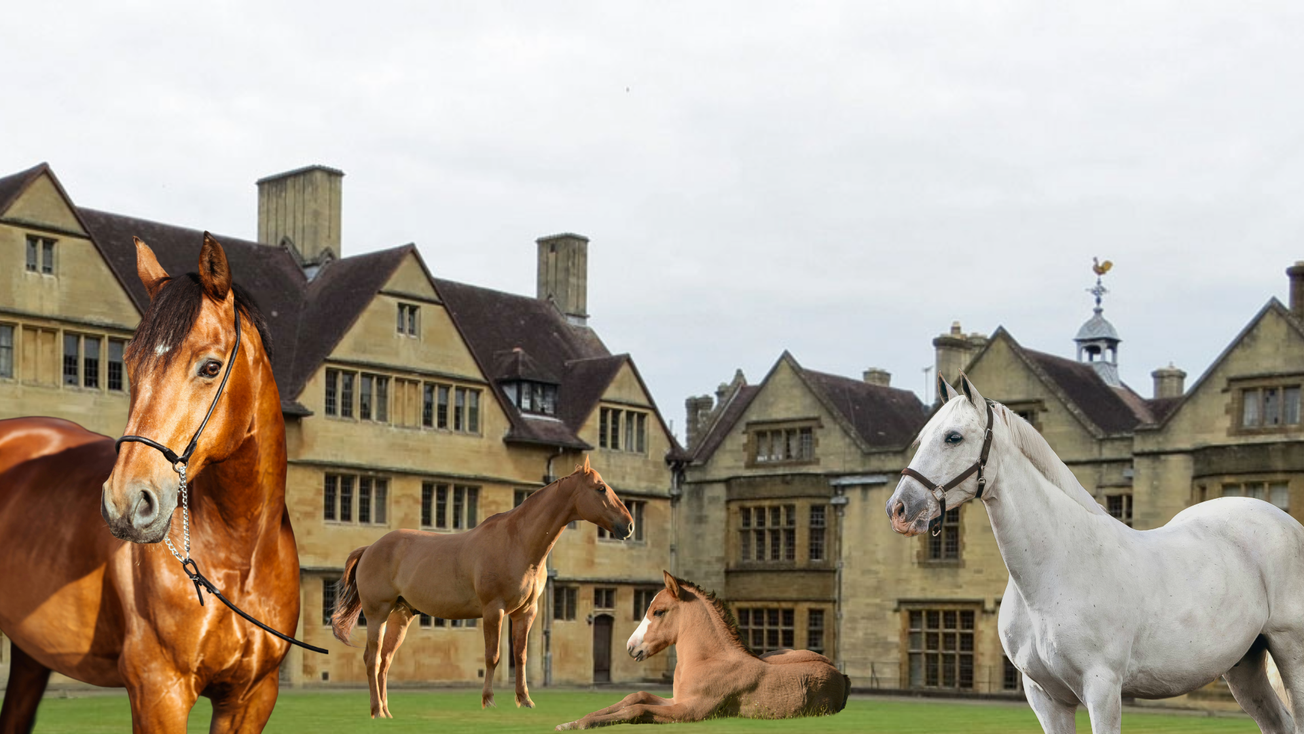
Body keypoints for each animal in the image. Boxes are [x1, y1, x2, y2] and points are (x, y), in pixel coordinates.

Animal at [0, 235, 300, 733]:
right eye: (129, 362)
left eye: (210, 367)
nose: (126, 503)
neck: (238, 558)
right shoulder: (160, 692)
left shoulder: (251, 698)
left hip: (29, 654)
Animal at [330, 456, 635, 718]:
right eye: (601, 488)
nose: (629, 526)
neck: (517, 541)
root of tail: (370, 548)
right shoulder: (493, 610)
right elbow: (493, 656)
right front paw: (489, 700)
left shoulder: (526, 612)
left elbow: (521, 655)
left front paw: (525, 700)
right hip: (377, 614)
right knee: (372, 659)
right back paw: (376, 710)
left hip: (400, 616)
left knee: (385, 661)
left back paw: (386, 711)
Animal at [555, 572, 850, 730]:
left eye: (659, 611)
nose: (631, 647)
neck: (706, 660)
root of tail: (841, 675)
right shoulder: (677, 700)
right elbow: (635, 696)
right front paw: (571, 722)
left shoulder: (691, 711)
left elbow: (636, 709)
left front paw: (581, 724)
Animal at [887, 374, 1304, 734]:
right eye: (922, 438)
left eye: (953, 437)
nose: (899, 509)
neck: (1056, 570)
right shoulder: (1046, 698)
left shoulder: (1102, 689)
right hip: (1243, 665)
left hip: (1291, 654)